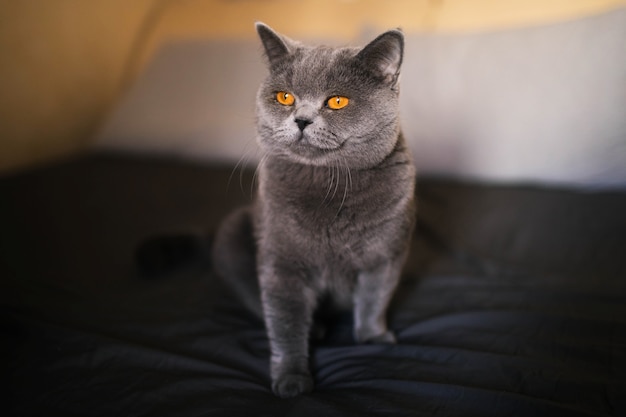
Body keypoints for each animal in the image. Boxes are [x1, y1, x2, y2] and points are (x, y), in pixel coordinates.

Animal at [211, 22, 414, 396]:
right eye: (285, 97)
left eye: (337, 101)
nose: (302, 120)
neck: (328, 185)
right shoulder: (281, 262)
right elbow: (284, 321)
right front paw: (292, 378)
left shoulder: (387, 254)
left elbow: (375, 298)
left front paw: (374, 338)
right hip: (232, 232)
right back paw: (317, 329)